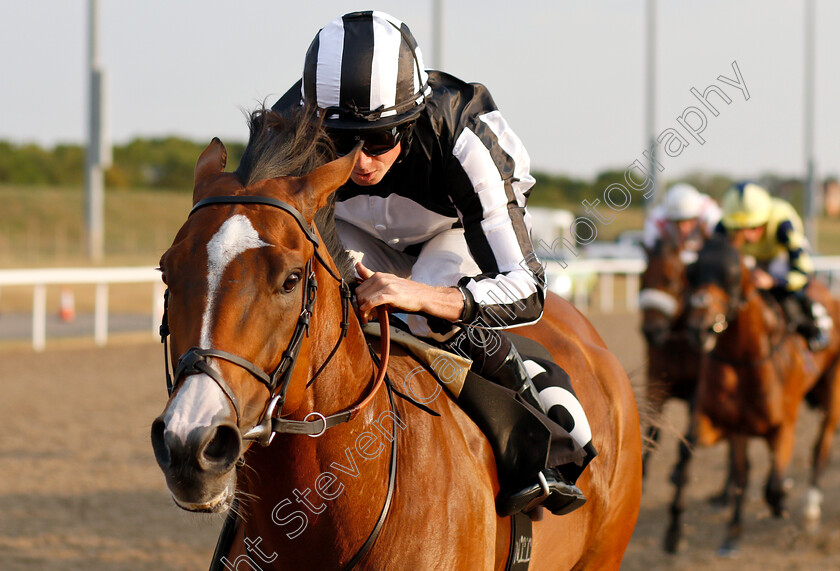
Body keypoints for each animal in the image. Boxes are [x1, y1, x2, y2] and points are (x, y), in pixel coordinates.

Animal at [668, 236, 840, 556]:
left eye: (733, 273)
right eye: (692, 271)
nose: (699, 328)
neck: (744, 359)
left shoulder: (784, 426)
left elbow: (772, 486)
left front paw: (782, 500)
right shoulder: (728, 424)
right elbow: (727, 469)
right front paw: (683, 532)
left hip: (831, 399)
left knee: (820, 447)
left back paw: (810, 506)